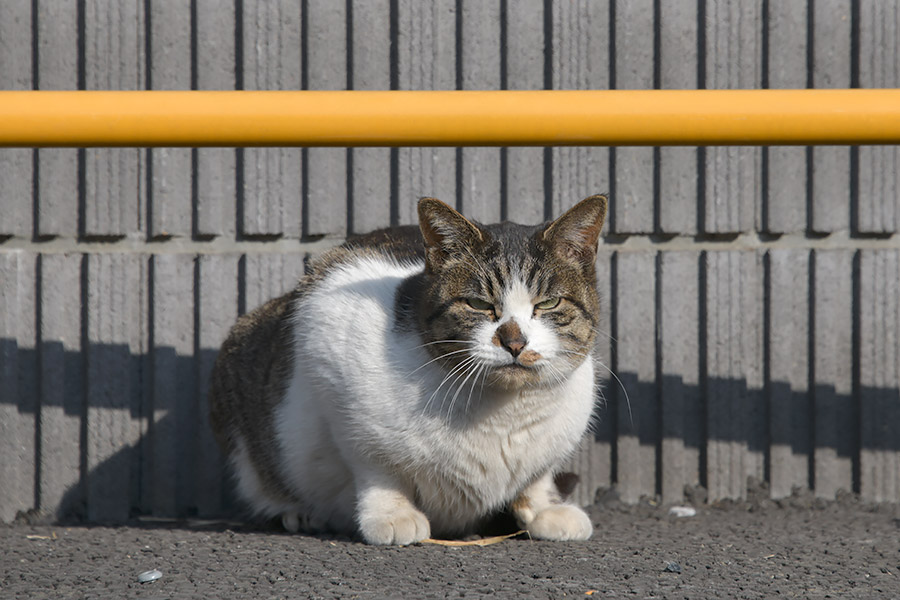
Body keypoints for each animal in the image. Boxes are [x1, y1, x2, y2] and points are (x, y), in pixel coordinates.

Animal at [207, 196, 608, 544]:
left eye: (549, 303)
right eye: (478, 304)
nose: (514, 342)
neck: (504, 414)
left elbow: (535, 478)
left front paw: (544, 508)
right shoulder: (329, 348)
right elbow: (378, 468)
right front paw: (392, 515)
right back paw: (296, 512)